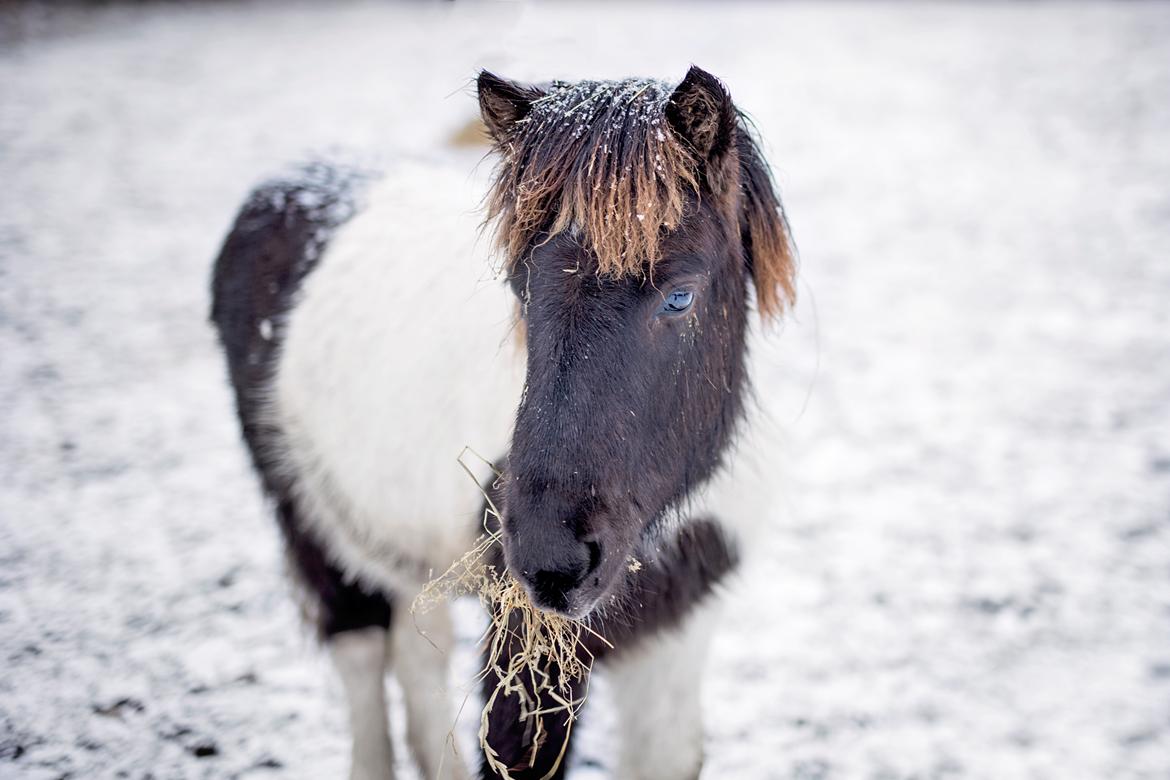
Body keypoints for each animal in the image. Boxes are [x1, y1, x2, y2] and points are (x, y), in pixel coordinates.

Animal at [210, 65, 795, 780]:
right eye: (520, 287)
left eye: (680, 296)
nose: (550, 560)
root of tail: (280, 192)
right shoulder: (527, 651)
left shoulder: (678, 628)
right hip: (308, 519)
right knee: (361, 657)